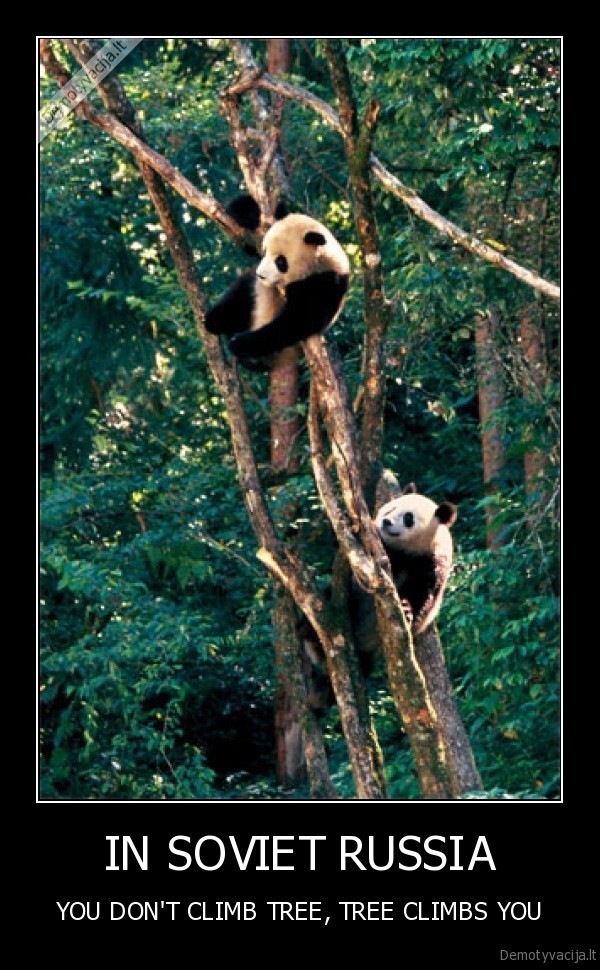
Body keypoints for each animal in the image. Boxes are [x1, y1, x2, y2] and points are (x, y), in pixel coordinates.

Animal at [205, 195, 350, 370]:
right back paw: (214, 319)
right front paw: (246, 212)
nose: (261, 275)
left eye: (281, 262)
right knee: (242, 292)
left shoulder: (325, 282)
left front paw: (239, 343)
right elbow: (248, 244)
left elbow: (298, 320)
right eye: (265, 251)